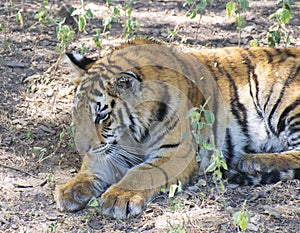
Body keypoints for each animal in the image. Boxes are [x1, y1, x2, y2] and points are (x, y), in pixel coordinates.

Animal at [54, 38, 300, 218]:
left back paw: (253, 161)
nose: (82, 149)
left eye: (102, 116)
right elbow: (93, 168)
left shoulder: (176, 152)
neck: (133, 136)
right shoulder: (112, 148)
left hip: (285, 103)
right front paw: (71, 189)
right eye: (78, 113)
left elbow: (141, 173)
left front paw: (119, 197)